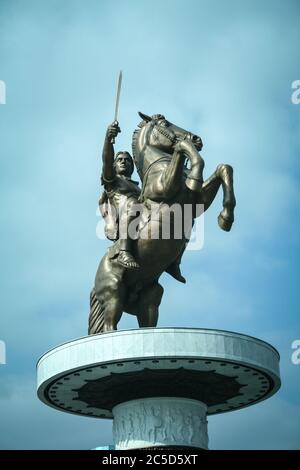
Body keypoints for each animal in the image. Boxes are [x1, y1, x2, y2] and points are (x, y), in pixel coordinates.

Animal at [88, 114, 236, 334]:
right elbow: (185, 150)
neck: (157, 168)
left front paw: (225, 218)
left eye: (125, 160)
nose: (197, 138)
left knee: (147, 317)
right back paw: (126, 259)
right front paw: (191, 163)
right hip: (113, 291)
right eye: (165, 124)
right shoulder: (166, 187)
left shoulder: (197, 200)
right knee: (109, 325)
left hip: (151, 294)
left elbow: (224, 168)